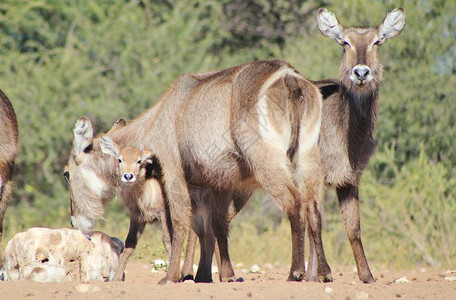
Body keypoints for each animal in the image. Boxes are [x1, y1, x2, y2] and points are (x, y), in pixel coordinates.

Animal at [67, 60, 332, 284]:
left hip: (267, 161)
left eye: (66, 173)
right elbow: (217, 226)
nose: (75, 220)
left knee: (294, 201)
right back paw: (322, 274)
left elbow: (179, 222)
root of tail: (289, 77)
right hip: (309, 156)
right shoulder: (219, 183)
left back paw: (296, 272)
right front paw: (222, 275)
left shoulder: (173, 169)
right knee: (314, 208)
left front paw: (170, 278)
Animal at [314, 7, 406, 284]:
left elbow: (353, 228)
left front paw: (367, 275)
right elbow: (316, 222)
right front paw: (323, 273)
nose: (361, 72)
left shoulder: (349, 179)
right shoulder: (316, 175)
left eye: (377, 42)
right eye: (345, 42)